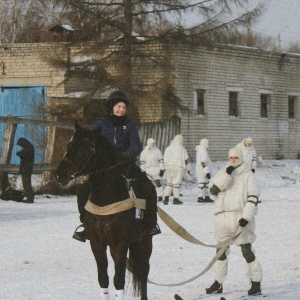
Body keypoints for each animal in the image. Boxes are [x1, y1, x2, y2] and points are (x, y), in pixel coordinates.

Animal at [55, 120, 157, 298]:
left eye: (84, 148)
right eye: (69, 144)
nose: (60, 175)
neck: (106, 199)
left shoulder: (119, 243)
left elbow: (119, 280)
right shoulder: (97, 244)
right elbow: (103, 278)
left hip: (144, 240)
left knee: (144, 271)